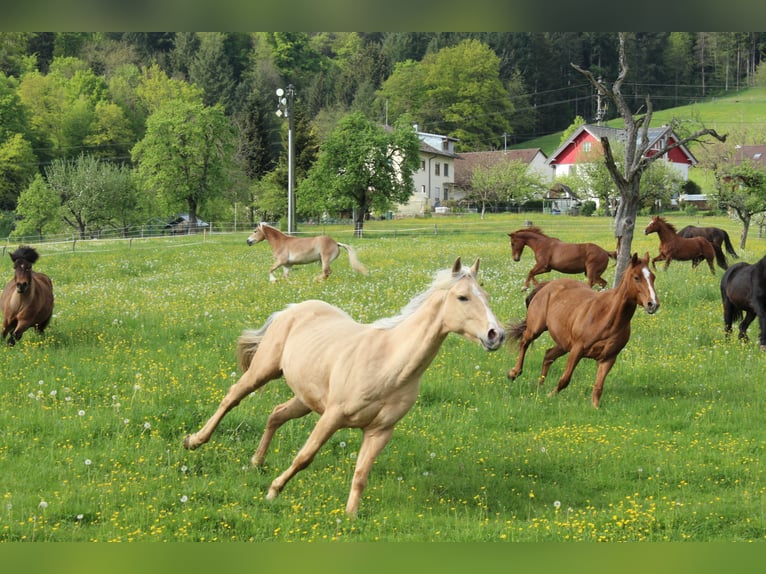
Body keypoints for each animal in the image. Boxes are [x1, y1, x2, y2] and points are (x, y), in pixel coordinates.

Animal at [183, 257, 505, 516]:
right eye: (463, 297)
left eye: (486, 295)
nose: (496, 335)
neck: (388, 364)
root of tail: (294, 308)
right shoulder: (332, 417)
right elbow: (305, 456)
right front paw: (273, 491)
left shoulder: (379, 431)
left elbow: (361, 473)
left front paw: (350, 517)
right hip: (263, 371)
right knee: (232, 398)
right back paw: (195, 441)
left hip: (305, 400)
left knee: (275, 414)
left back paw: (255, 462)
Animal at [506, 252, 659, 408]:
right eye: (636, 277)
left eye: (653, 277)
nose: (653, 304)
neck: (607, 317)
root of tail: (547, 285)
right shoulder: (577, 350)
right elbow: (565, 379)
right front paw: (550, 396)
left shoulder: (608, 358)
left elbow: (598, 387)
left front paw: (595, 407)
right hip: (536, 329)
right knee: (525, 342)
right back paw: (514, 373)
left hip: (564, 344)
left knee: (548, 355)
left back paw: (539, 386)